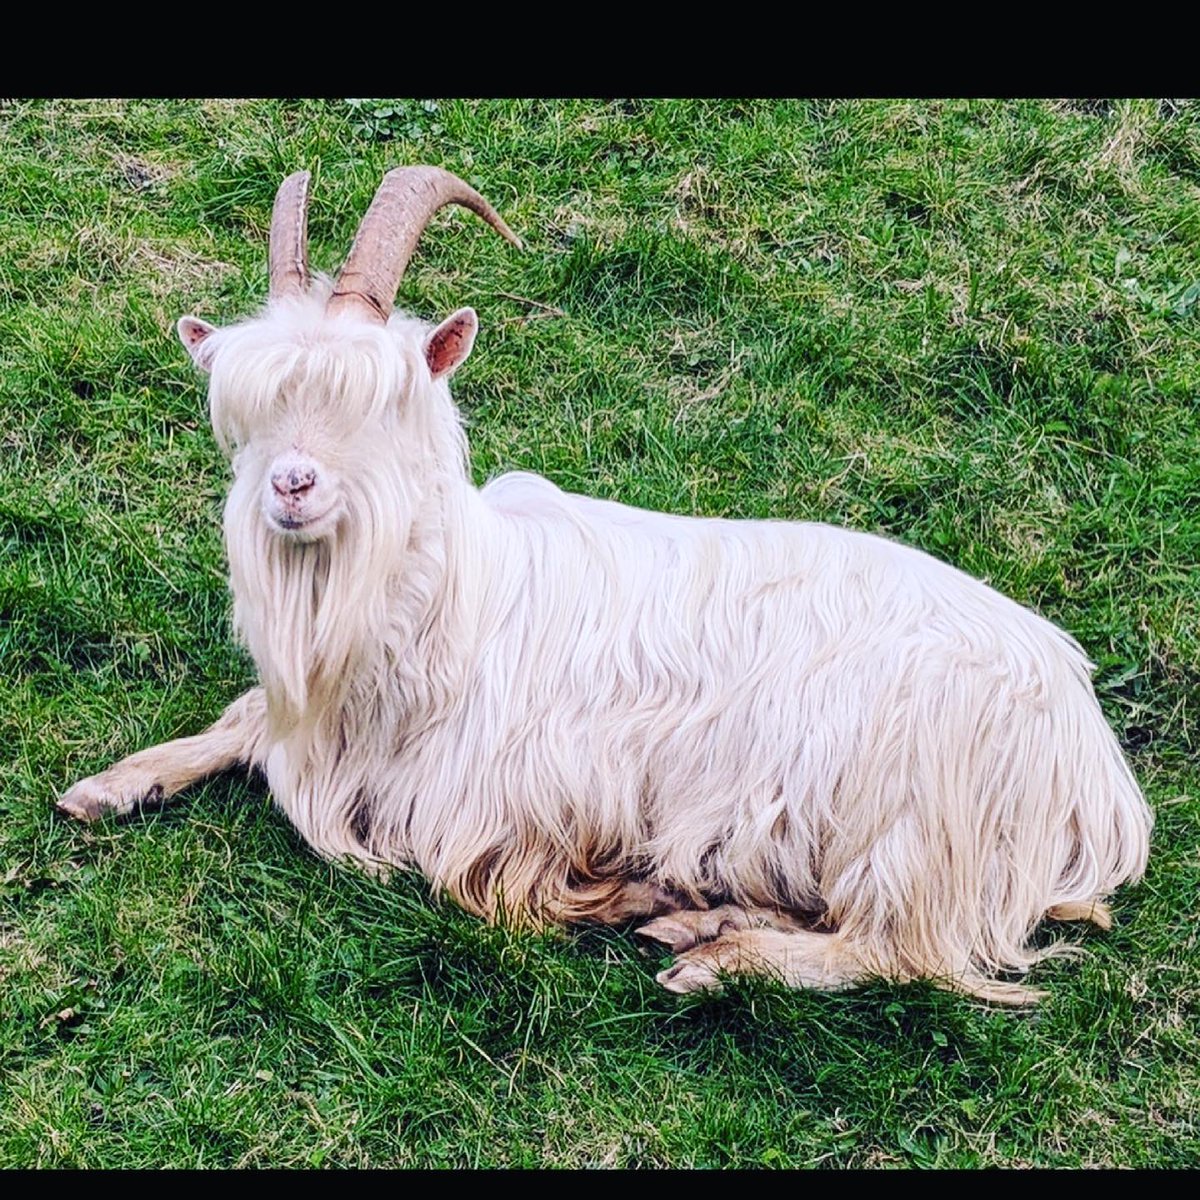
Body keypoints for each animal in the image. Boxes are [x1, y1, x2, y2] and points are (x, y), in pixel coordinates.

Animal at [58, 166, 1153, 1004]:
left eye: (385, 401)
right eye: (245, 408)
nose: (292, 486)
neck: (452, 608)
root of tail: (1092, 761)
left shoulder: (517, 802)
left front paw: (632, 897)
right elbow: (245, 721)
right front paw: (110, 784)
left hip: (917, 819)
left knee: (902, 950)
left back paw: (718, 959)